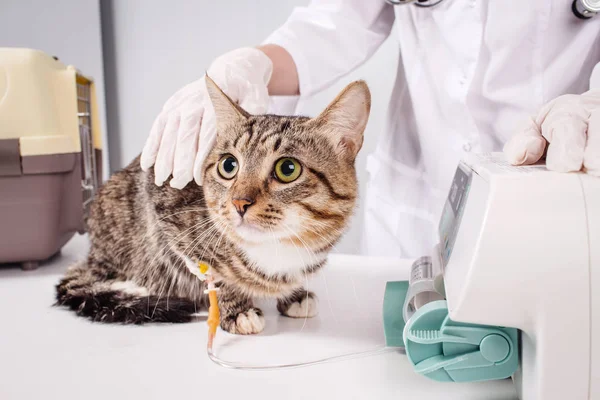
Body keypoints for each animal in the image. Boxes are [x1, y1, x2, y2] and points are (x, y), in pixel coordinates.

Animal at [57, 76, 376, 334]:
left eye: (288, 169)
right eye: (228, 165)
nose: (239, 202)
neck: (277, 247)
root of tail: (93, 252)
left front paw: (294, 294)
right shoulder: (167, 214)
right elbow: (215, 276)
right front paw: (236, 308)